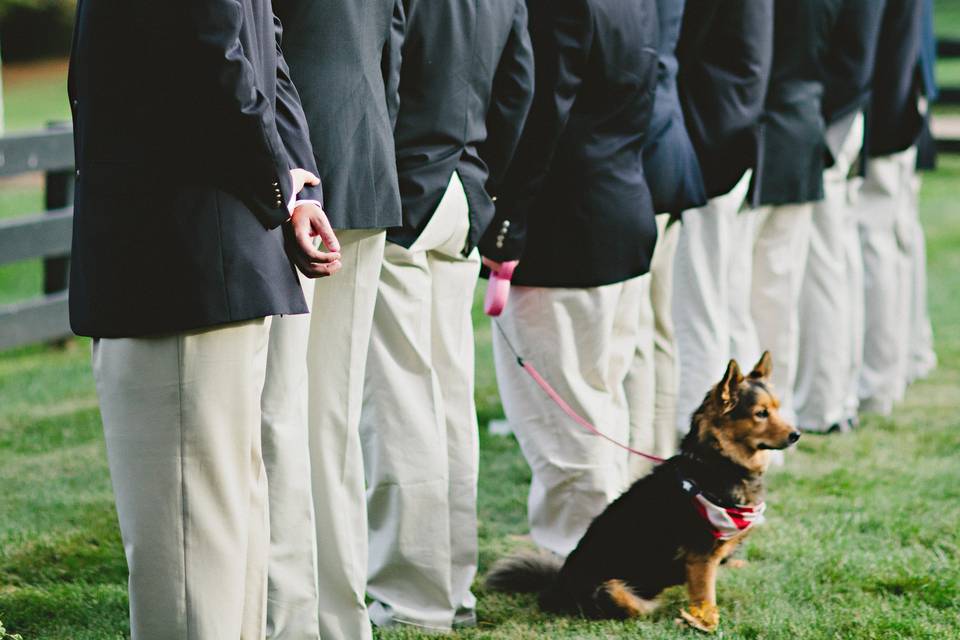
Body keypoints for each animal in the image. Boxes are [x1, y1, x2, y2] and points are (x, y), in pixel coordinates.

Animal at [488, 352, 804, 632]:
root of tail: (555, 588)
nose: (796, 435)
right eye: (761, 414)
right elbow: (706, 598)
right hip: (611, 588)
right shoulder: (701, 559)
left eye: (778, 408)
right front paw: (706, 624)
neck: (716, 462)